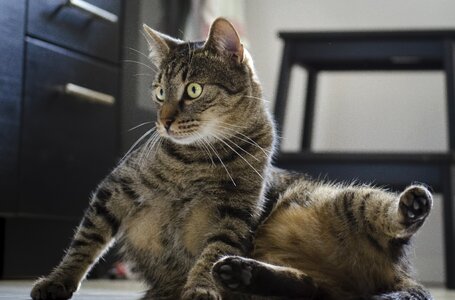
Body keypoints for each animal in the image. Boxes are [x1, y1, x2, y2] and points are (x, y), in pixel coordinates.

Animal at [32, 18, 276, 300]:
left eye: (194, 89)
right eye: (160, 93)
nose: (164, 121)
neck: (197, 158)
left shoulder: (236, 211)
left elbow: (215, 254)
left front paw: (201, 287)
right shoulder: (116, 187)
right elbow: (86, 240)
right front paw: (58, 279)